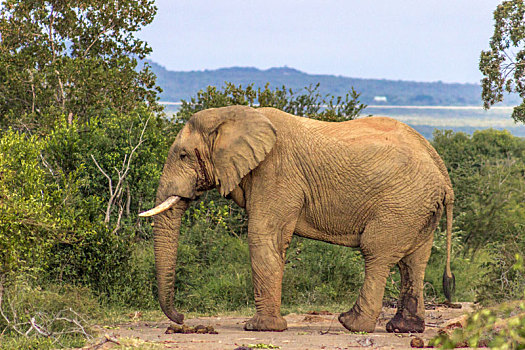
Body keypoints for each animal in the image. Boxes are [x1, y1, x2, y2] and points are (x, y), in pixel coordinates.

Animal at [139, 106, 454, 334]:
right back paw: (404, 328)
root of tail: (441, 169)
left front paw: (261, 328)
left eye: (183, 155)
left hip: (401, 203)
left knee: (376, 253)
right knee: (413, 261)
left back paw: (351, 324)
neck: (234, 114)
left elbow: (263, 236)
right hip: (417, 208)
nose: (181, 318)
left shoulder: (276, 173)